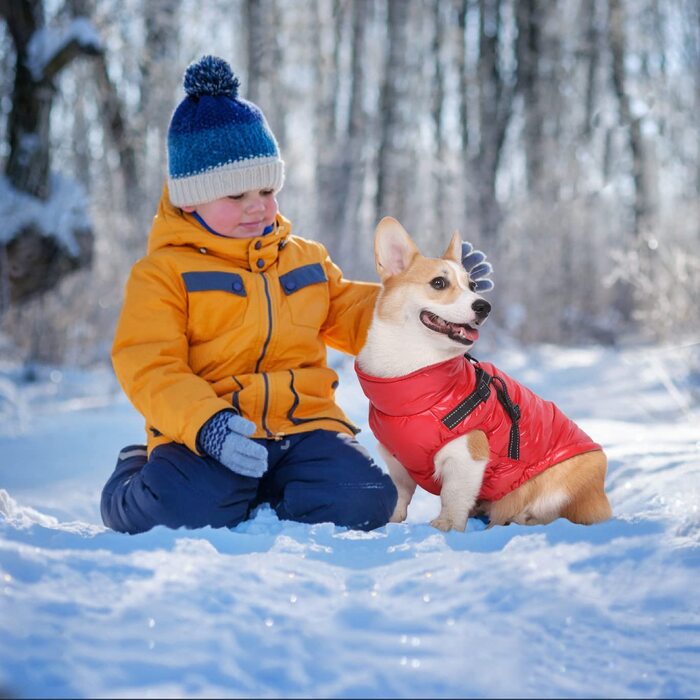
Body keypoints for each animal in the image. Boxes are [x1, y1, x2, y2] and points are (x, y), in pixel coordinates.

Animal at [356, 217, 612, 532]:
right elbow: (400, 494)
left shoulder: (467, 452)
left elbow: (453, 496)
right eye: (438, 283)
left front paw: (445, 525)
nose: (484, 306)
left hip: (573, 475)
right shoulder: (396, 458)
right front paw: (391, 522)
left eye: (473, 285)